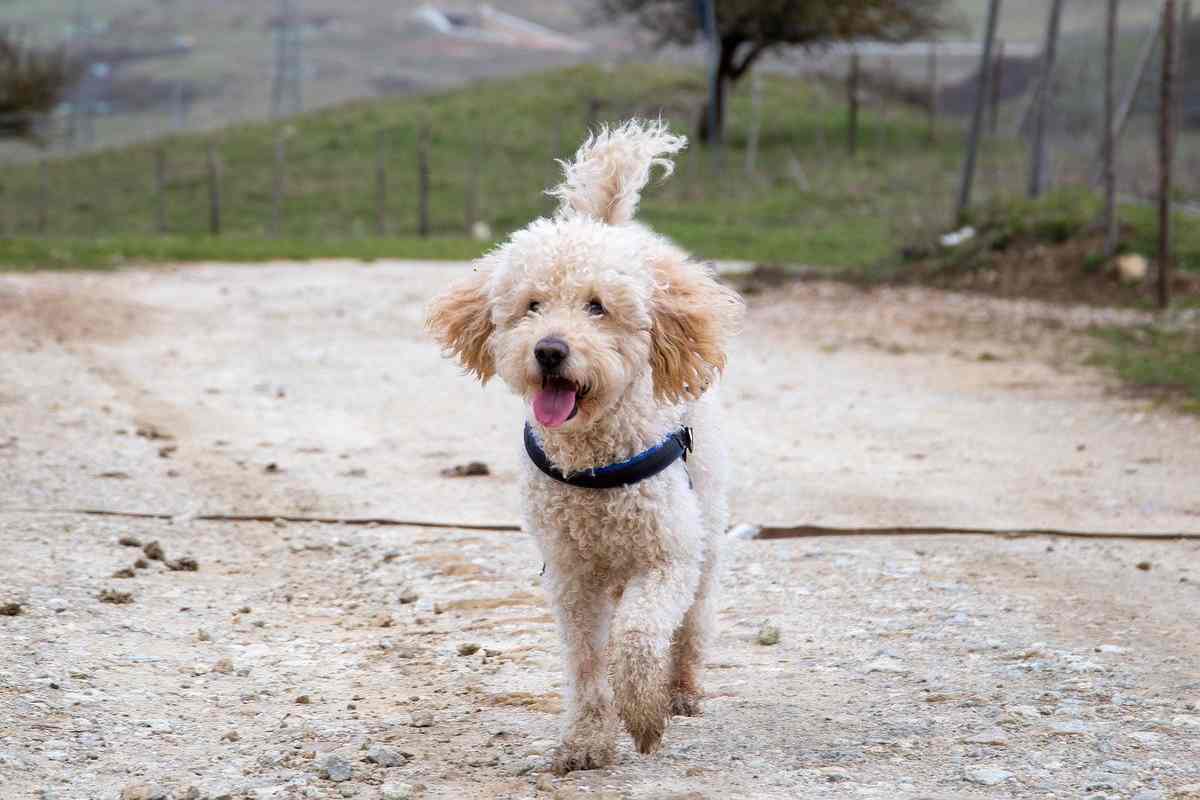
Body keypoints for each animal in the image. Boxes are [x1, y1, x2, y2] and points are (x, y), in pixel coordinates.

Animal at [422, 120, 739, 777]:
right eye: (532, 305)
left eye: (598, 306)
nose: (549, 350)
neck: (594, 463)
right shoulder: (572, 578)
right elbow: (589, 662)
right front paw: (588, 741)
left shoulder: (666, 559)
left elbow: (638, 639)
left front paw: (643, 715)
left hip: (706, 525)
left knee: (694, 620)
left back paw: (682, 689)